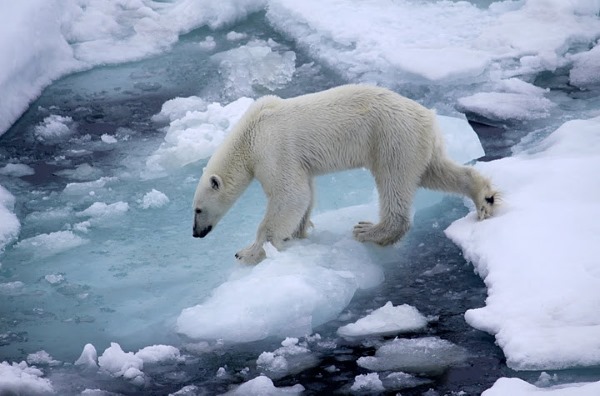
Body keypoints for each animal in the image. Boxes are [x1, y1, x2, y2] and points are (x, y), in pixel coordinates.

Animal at [192, 84, 496, 262]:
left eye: (197, 209)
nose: (196, 233)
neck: (249, 134)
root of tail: (429, 116)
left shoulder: (272, 149)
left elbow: (290, 194)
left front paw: (249, 252)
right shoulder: (293, 159)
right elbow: (304, 193)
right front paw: (296, 232)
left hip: (391, 138)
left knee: (393, 182)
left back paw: (369, 230)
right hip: (418, 144)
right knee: (436, 171)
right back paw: (486, 198)